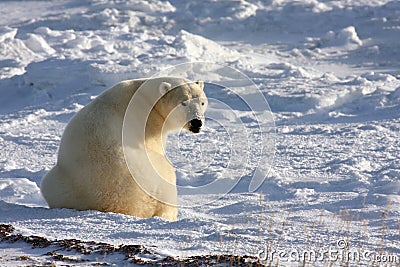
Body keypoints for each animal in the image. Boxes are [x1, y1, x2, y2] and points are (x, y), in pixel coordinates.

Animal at [40, 77, 208, 222]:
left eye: (202, 102)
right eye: (183, 103)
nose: (196, 122)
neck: (147, 97)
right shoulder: (148, 126)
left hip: (61, 184)